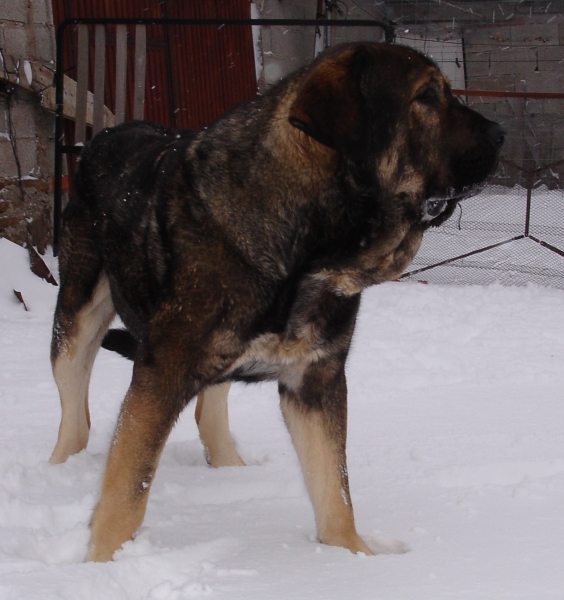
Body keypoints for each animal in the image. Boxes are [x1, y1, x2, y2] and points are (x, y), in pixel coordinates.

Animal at [50, 43, 504, 564]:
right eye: (426, 95)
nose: (502, 134)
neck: (309, 247)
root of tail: (102, 135)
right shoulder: (162, 373)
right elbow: (126, 491)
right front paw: (100, 565)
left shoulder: (316, 380)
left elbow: (335, 490)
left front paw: (354, 557)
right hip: (76, 321)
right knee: (75, 417)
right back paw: (57, 473)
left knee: (208, 410)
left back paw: (231, 471)